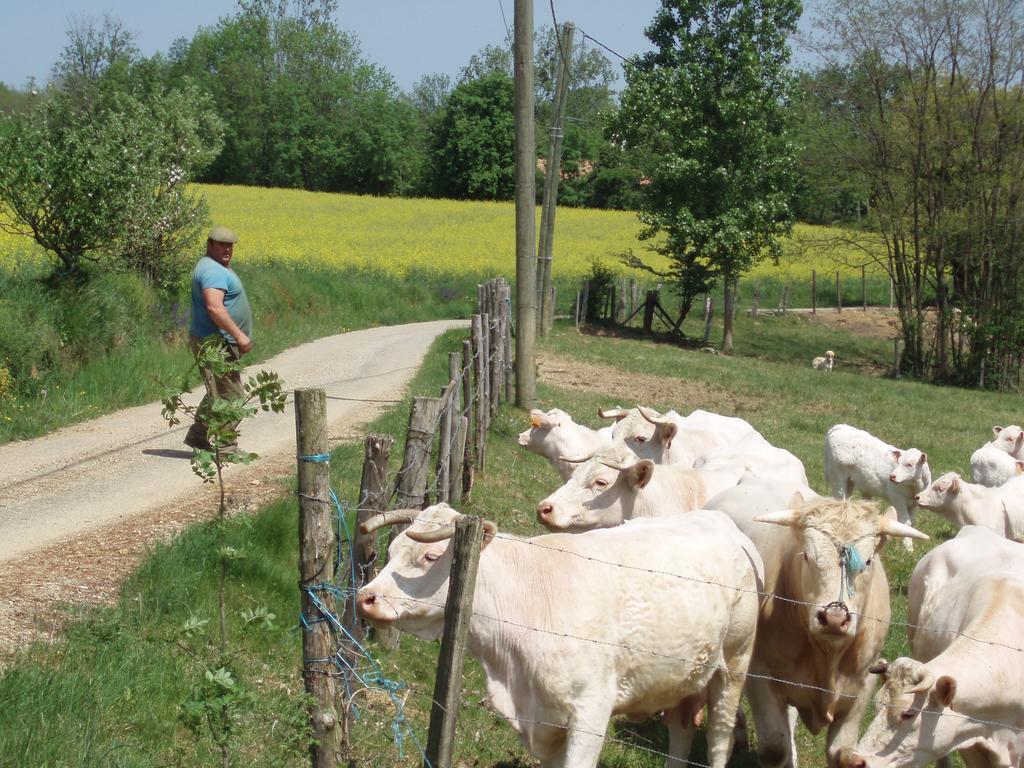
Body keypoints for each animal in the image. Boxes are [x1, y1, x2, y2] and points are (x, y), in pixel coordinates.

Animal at [356, 505, 765, 768]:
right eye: (391, 551)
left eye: (429, 557)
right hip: (681, 676)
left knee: (718, 738)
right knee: (680, 734)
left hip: (734, 663)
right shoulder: (546, 723)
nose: (365, 597)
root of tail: (720, 521)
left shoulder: (591, 711)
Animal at [708, 481, 933, 768]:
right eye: (806, 556)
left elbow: (842, 753)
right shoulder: (760, 675)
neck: (827, 657)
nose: (834, 619)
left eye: (868, 561)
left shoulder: (862, 683)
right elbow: (774, 747)